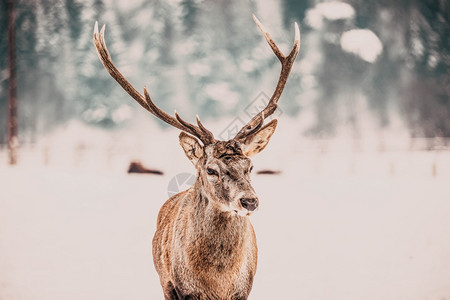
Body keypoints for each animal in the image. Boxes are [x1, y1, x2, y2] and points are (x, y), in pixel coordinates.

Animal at [92, 15, 298, 300]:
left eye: (250, 166)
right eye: (211, 170)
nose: (249, 201)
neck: (219, 282)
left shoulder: (244, 290)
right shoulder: (180, 289)